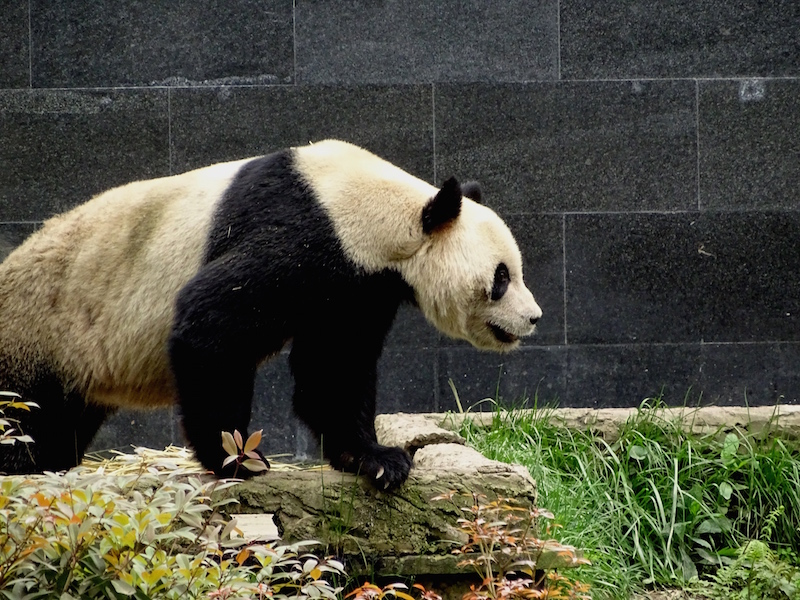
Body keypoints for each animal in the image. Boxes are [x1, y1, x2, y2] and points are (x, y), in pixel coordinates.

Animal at [0, 140, 541, 489]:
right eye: (501, 278)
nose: (533, 318)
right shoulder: (302, 237)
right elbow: (210, 323)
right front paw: (238, 459)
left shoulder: (354, 290)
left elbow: (334, 369)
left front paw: (376, 460)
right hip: (35, 334)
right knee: (23, 413)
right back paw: (21, 463)